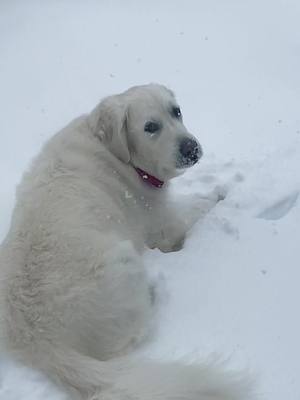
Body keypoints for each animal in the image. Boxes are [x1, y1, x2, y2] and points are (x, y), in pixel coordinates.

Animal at [0, 83, 253, 398]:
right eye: (150, 127)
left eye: (176, 111)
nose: (191, 148)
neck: (120, 156)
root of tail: (39, 342)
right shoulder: (164, 227)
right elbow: (197, 206)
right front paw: (218, 193)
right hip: (123, 259)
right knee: (131, 337)